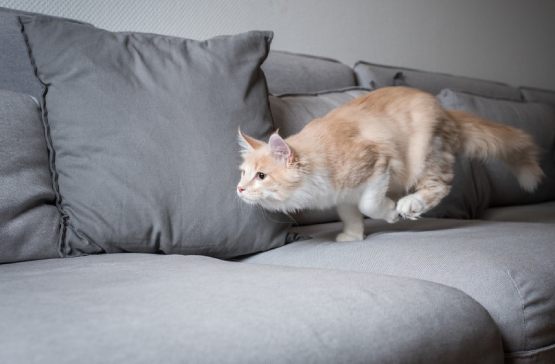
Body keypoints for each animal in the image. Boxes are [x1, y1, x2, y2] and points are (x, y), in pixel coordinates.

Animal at [236, 86, 544, 242]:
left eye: (261, 176)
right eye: (243, 174)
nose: (239, 189)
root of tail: (445, 111)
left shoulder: (378, 163)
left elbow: (368, 205)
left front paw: (391, 212)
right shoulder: (342, 195)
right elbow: (351, 214)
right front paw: (353, 236)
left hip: (425, 153)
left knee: (440, 185)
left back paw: (411, 204)